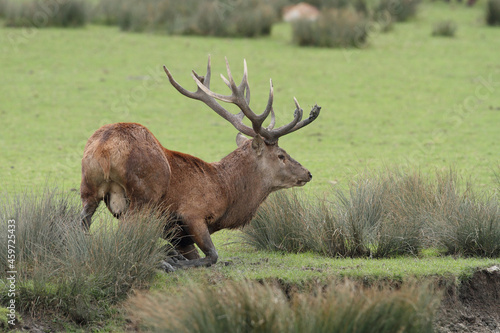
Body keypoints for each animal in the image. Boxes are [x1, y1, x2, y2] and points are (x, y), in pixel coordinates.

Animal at [79, 57, 318, 270]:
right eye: (281, 155)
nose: (308, 173)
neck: (226, 192)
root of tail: (106, 147)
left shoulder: (180, 236)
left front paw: (170, 257)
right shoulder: (192, 213)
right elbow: (212, 255)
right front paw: (173, 261)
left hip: (88, 187)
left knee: (82, 224)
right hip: (143, 196)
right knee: (125, 236)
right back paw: (164, 264)